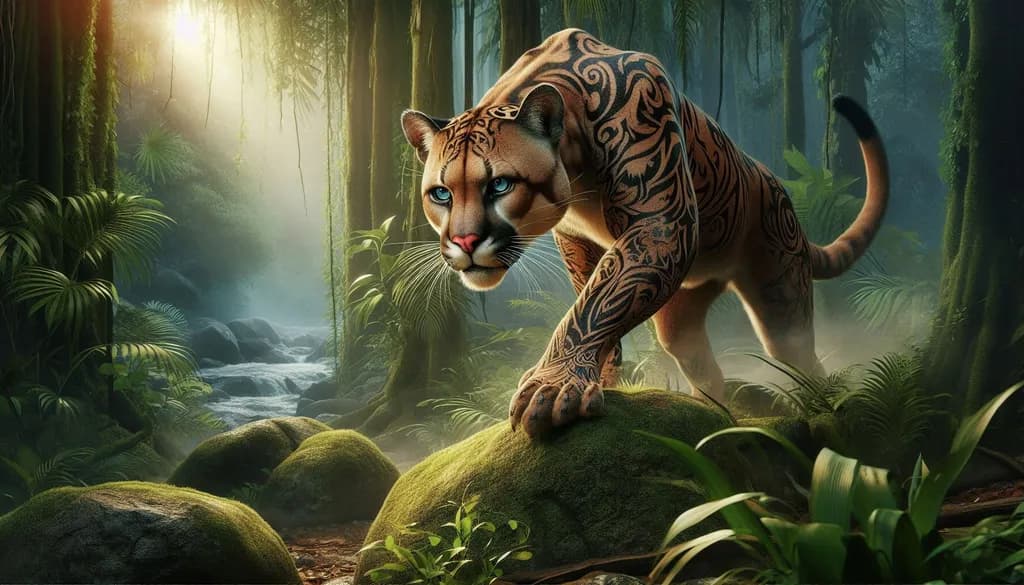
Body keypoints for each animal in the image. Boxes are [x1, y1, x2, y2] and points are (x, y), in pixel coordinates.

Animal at [400, 28, 889, 438]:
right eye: (441, 193)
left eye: (500, 185)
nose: (465, 243)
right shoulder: (577, 239)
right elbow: (594, 294)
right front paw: (599, 378)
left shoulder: (658, 223)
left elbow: (590, 305)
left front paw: (553, 384)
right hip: (678, 315)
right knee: (703, 364)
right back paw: (712, 417)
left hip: (781, 293)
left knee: (804, 359)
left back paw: (824, 412)